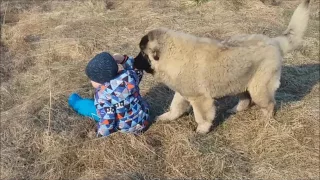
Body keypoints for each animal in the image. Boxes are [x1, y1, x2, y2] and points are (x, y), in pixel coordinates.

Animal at [137, 0, 310, 134]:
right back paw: (235, 110)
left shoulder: (200, 98)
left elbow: (202, 116)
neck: (172, 54)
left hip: (259, 88)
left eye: (142, 54)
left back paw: (265, 120)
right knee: (246, 100)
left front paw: (202, 130)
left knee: (269, 104)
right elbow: (176, 107)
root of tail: (274, 42)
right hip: (241, 80)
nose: (133, 61)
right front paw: (167, 117)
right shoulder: (183, 92)